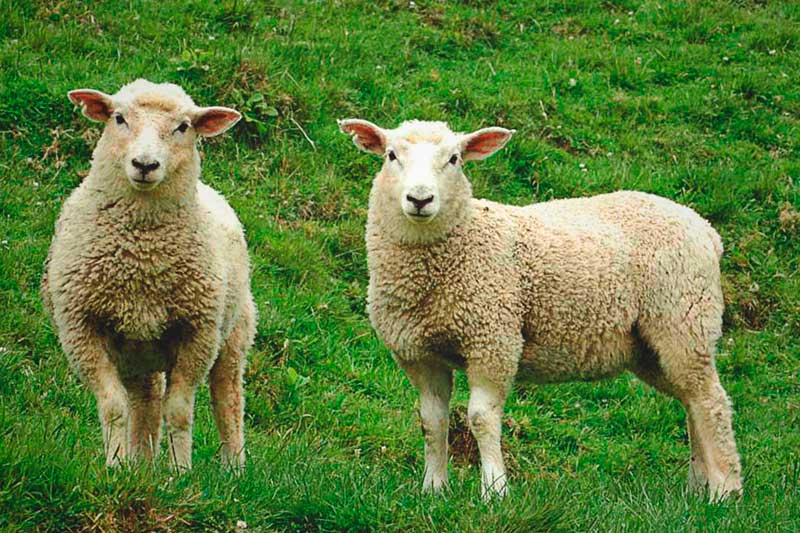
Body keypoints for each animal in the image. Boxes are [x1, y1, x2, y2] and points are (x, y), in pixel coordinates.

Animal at [42, 79, 255, 470]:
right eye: (119, 118)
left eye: (183, 127)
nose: (144, 164)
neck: (141, 255)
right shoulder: (82, 329)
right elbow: (114, 406)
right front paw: (114, 467)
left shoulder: (198, 334)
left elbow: (180, 411)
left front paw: (181, 472)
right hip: (138, 350)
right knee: (145, 401)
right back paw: (140, 465)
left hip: (233, 334)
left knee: (228, 400)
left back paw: (233, 469)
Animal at [338, 118, 742, 501]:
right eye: (391, 155)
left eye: (454, 159)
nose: (420, 199)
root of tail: (706, 229)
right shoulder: (419, 354)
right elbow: (431, 421)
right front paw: (434, 488)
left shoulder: (494, 340)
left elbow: (481, 418)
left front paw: (495, 490)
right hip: (650, 347)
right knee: (691, 402)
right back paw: (698, 487)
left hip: (684, 320)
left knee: (712, 402)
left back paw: (724, 489)